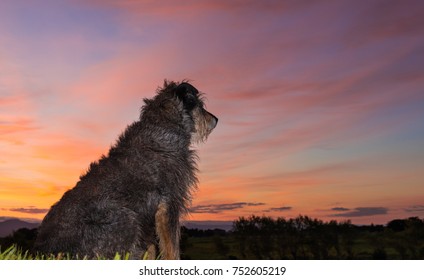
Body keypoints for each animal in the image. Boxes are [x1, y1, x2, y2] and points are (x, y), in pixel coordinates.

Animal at [33, 80, 219, 260]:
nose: (216, 119)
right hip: (126, 217)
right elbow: (171, 248)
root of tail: (46, 251)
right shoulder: (170, 201)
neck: (163, 125)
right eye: (200, 105)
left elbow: (151, 248)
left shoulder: (151, 212)